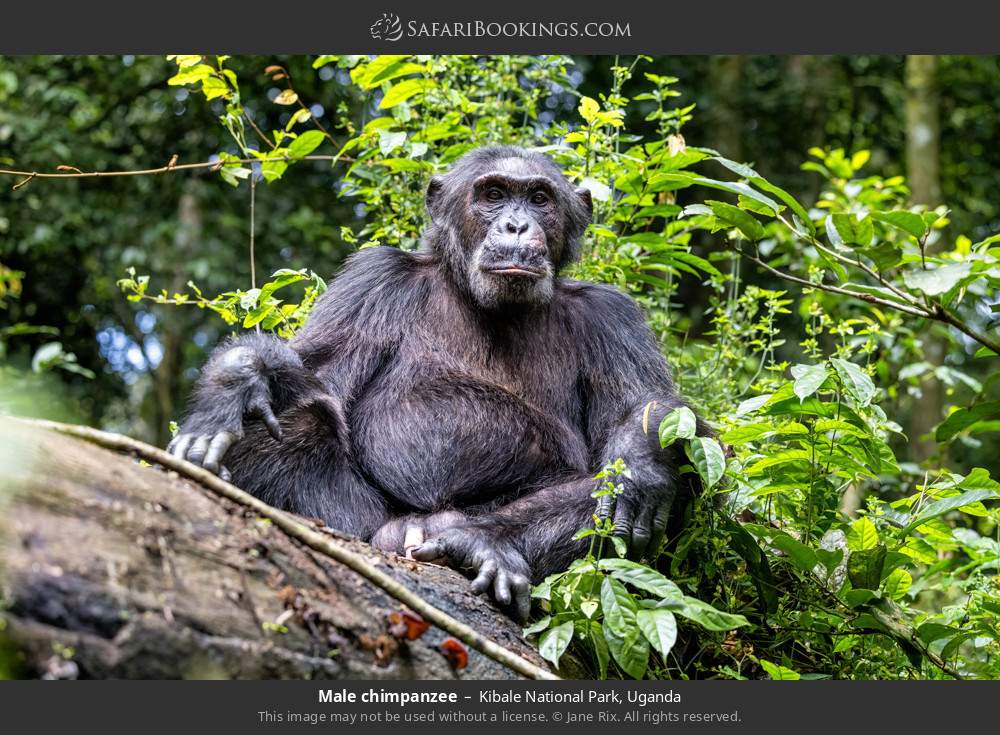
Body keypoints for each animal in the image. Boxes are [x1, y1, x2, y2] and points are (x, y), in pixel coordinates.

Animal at [168, 147, 704, 620]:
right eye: (493, 194)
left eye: (539, 199)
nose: (515, 225)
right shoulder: (373, 281)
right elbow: (315, 369)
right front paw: (234, 382)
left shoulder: (612, 317)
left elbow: (642, 406)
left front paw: (640, 470)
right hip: (361, 525)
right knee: (300, 418)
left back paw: (483, 543)